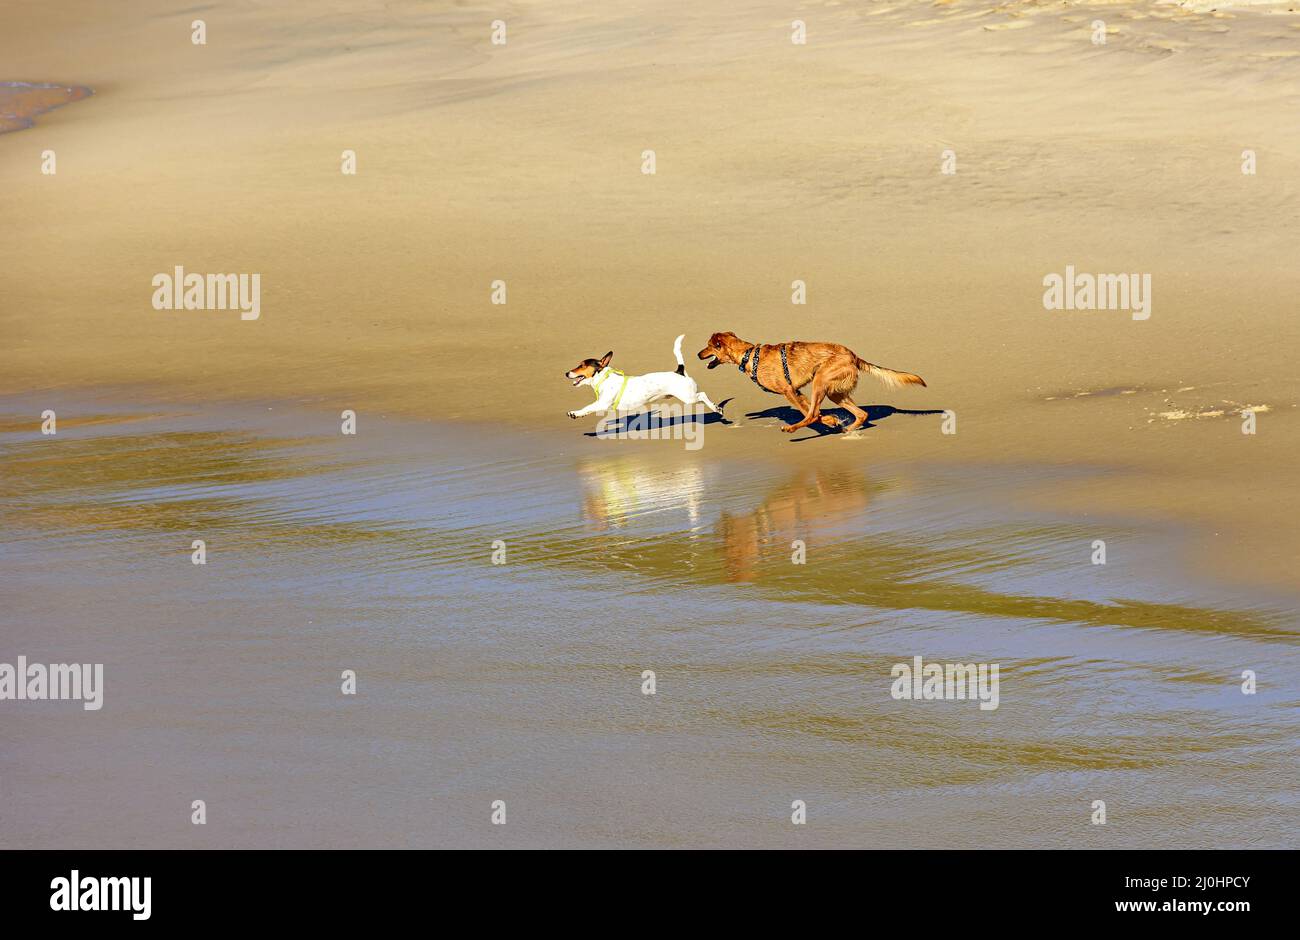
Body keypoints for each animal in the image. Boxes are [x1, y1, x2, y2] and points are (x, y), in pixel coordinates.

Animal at [561, 331, 722, 418]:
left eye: (581, 365)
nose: (566, 373)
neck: (604, 379)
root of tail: (679, 371)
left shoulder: (602, 403)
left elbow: (587, 407)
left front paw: (575, 413)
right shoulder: (600, 404)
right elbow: (588, 410)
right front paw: (578, 415)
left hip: (688, 397)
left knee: (702, 395)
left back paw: (716, 408)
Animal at [696, 332, 930, 431]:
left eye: (707, 346)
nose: (697, 354)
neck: (749, 355)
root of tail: (853, 355)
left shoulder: (789, 391)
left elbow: (810, 412)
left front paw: (828, 421)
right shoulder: (796, 392)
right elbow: (815, 411)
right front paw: (831, 420)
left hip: (820, 382)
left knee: (811, 415)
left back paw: (792, 429)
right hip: (834, 392)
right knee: (862, 414)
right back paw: (849, 430)